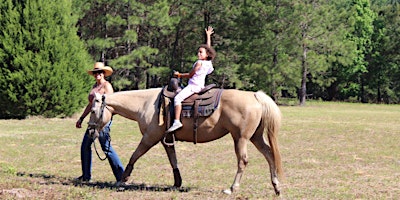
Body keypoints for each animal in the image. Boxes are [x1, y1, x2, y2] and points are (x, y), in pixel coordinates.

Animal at [88, 88, 282, 195]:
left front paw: (122, 180)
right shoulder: (165, 140)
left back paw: (232, 188)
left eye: (93, 110)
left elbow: (135, 156)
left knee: (243, 160)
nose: (89, 132)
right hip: (256, 137)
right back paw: (276, 186)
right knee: (269, 155)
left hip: (240, 138)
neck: (146, 104)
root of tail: (255, 96)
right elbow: (173, 160)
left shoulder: (150, 137)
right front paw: (177, 182)